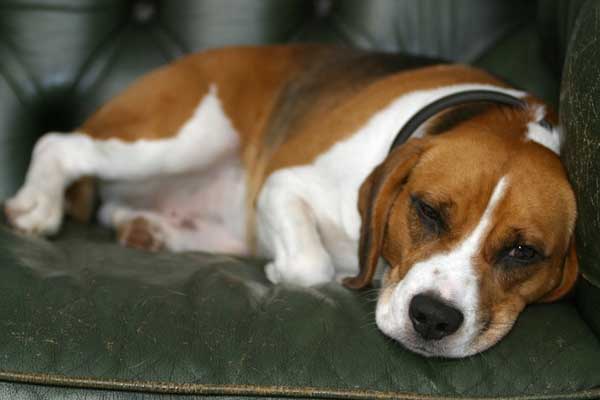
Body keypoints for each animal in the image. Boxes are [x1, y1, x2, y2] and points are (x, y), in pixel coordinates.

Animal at [3, 45, 576, 358]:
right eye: (428, 211)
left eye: (523, 253)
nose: (433, 318)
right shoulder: (283, 183)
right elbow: (309, 265)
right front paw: (291, 271)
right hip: (182, 137)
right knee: (59, 145)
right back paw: (37, 206)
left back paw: (148, 229)